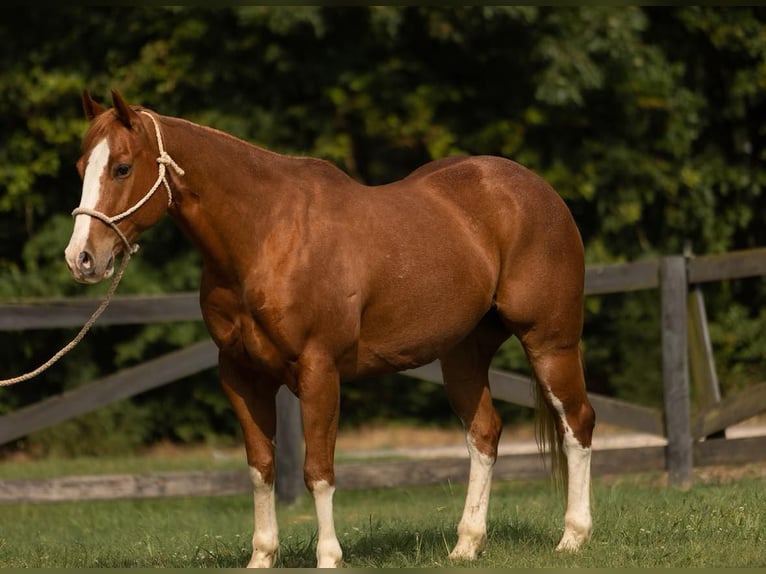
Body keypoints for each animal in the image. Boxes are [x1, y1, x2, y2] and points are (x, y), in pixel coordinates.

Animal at [66, 92, 596, 568]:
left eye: (121, 168)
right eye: (81, 167)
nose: (82, 258)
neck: (266, 236)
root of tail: (536, 190)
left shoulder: (318, 371)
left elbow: (318, 470)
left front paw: (328, 557)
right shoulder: (240, 376)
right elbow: (261, 468)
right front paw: (262, 557)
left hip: (549, 342)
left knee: (577, 423)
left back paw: (573, 538)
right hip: (462, 355)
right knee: (484, 434)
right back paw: (466, 545)